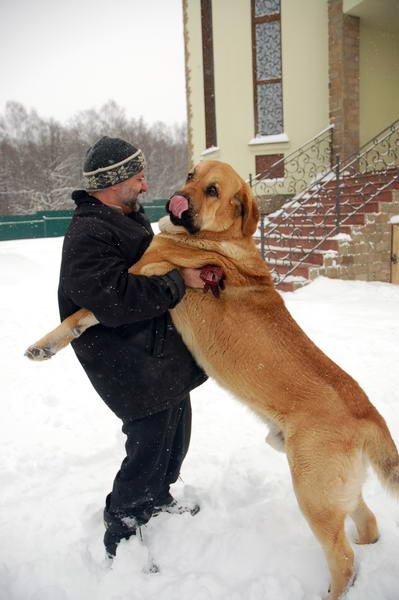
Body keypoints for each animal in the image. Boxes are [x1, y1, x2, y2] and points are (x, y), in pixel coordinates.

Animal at [27, 161, 399, 600]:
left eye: (213, 190)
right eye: (191, 174)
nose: (177, 198)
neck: (215, 238)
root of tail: (369, 413)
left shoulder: (138, 273)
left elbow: (82, 312)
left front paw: (46, 343)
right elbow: (79, 319)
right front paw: (46, 347)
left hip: (313, 491)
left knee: (342, 558)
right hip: (329, 486)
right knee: (367, 522)